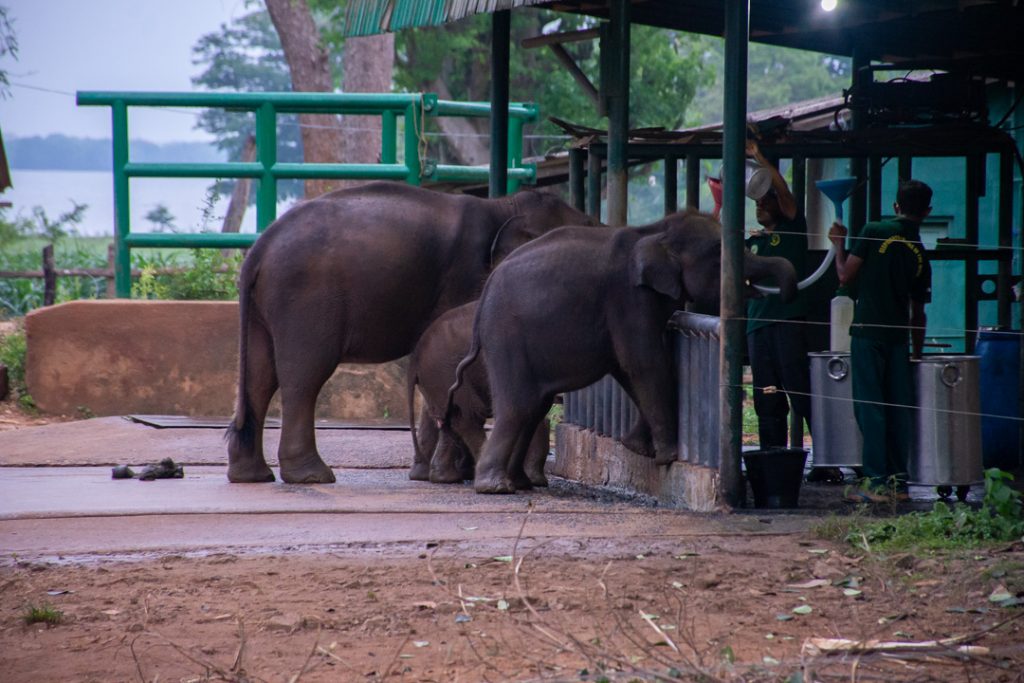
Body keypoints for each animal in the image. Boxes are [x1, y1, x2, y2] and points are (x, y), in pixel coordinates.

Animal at [407, 300, 550, 486]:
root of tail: (415, 358)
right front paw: (535, 481)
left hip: (438, 379)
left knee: (450, 418)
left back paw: (445, 478)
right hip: (445, 373)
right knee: (467, 415)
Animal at [449, 209, 798, 494]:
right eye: (718, 254)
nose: (785, 298)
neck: (655, 232)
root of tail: (484, 293)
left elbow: (631, 368)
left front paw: (638, 449)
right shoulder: (627, 298)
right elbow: (643, 363)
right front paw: (668, 457)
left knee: (534, 406)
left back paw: (519, 483)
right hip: (506, 338)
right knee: (518, 407)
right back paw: (495, 487)